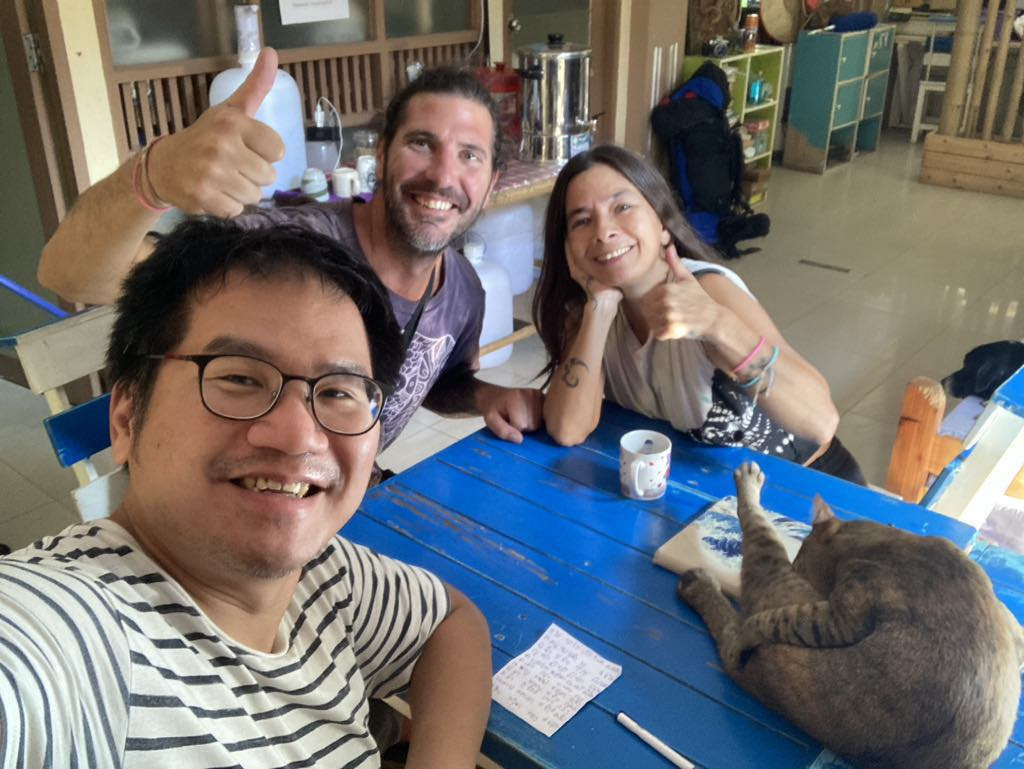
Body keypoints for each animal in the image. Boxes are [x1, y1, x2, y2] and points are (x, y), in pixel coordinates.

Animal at [677, 462, 1024, 769]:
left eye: (801, 556)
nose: (797, 564)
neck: (882, 542)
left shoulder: (844, 610)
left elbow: (776, 619)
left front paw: (748, 628)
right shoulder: (1008, 619)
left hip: (770, 581)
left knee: (738, 607)